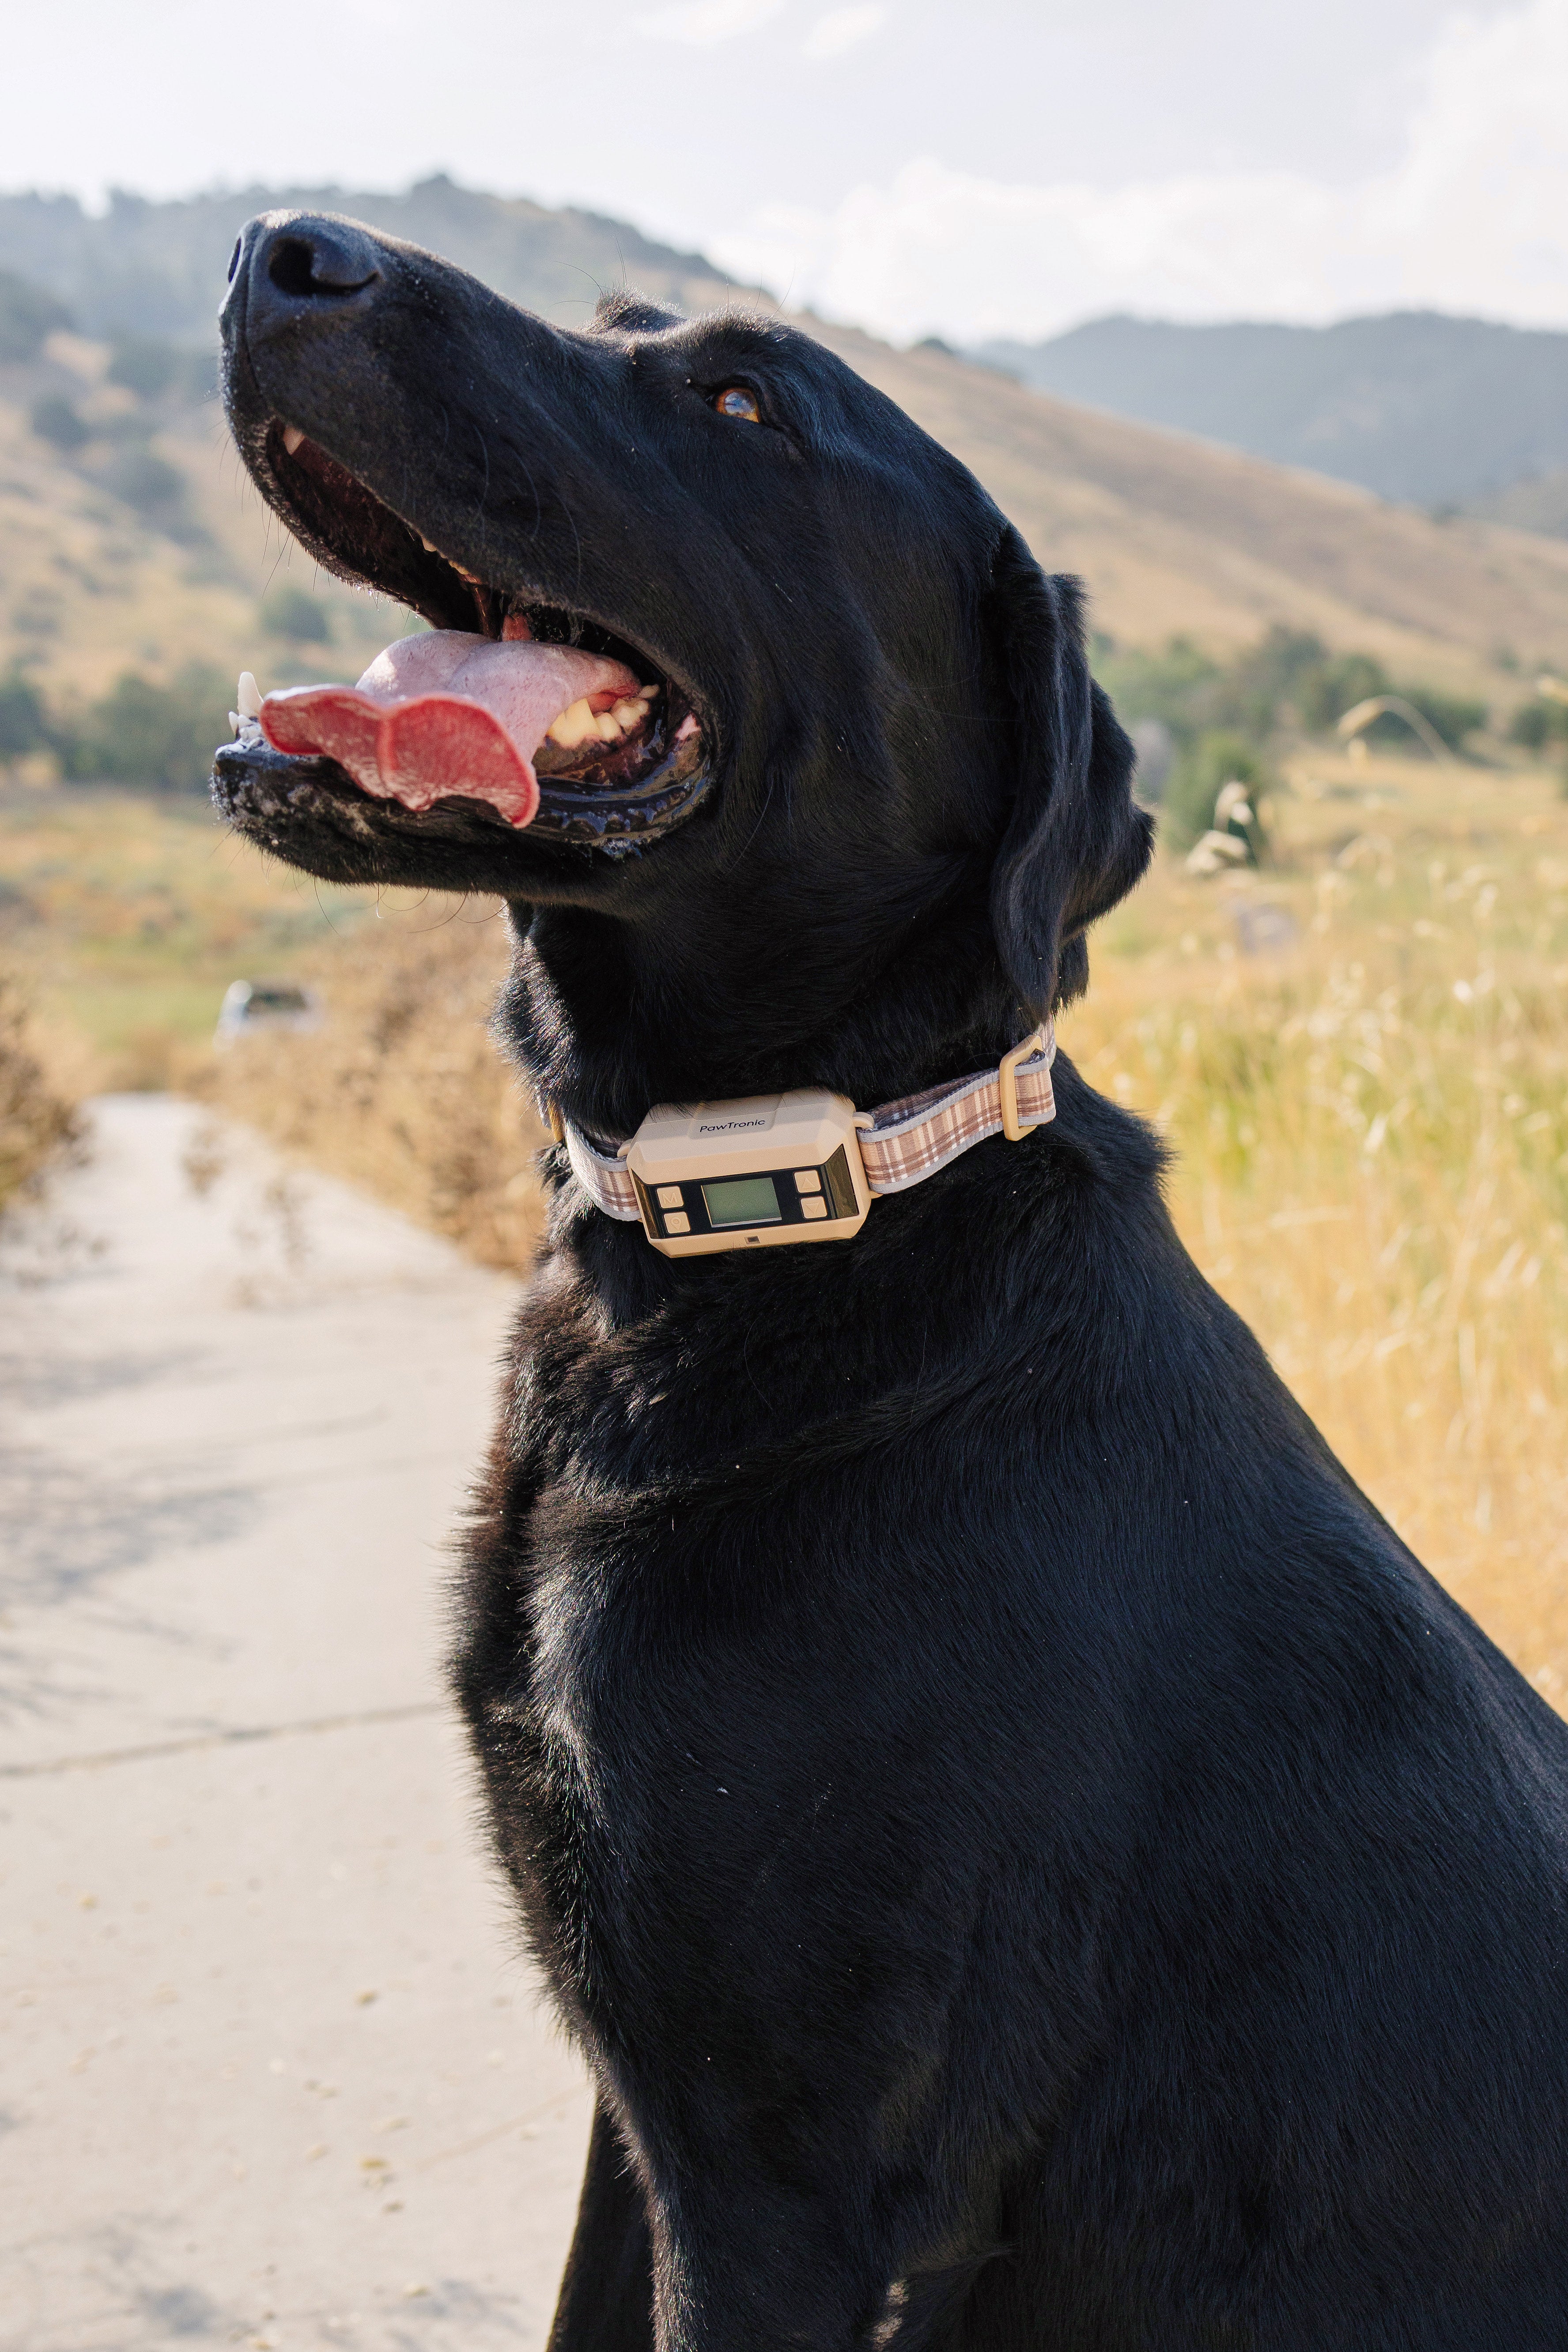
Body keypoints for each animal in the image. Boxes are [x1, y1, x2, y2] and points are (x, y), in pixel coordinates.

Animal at [215, 212, 1568, 2342]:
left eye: (741, 401)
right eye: (612, 329)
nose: (286, 250)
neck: (793, 1202)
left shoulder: (785, 2172)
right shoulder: (639, 2107)